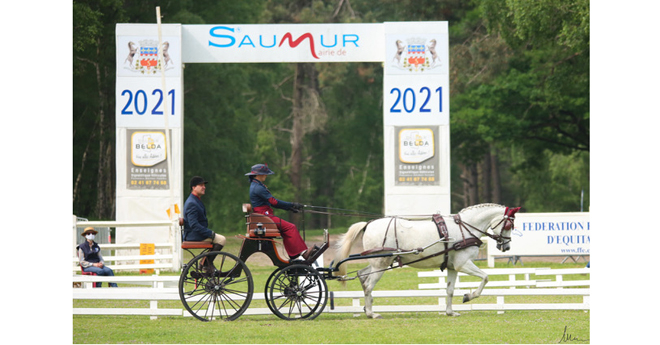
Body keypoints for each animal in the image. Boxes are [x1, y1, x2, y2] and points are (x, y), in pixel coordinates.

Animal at [336, 202, 520, 318]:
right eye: (509, 225)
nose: (506, 247)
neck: (465, 228)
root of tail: (368, 224)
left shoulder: (452, 267)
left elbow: (450, 290)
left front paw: (450, 312)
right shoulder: (463, 264)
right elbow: (485, 277)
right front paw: (469, 296)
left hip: (378, 263)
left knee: (362, 275)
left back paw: (366, 308)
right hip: (380, 263)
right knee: (368, 285)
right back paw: (371, 313)